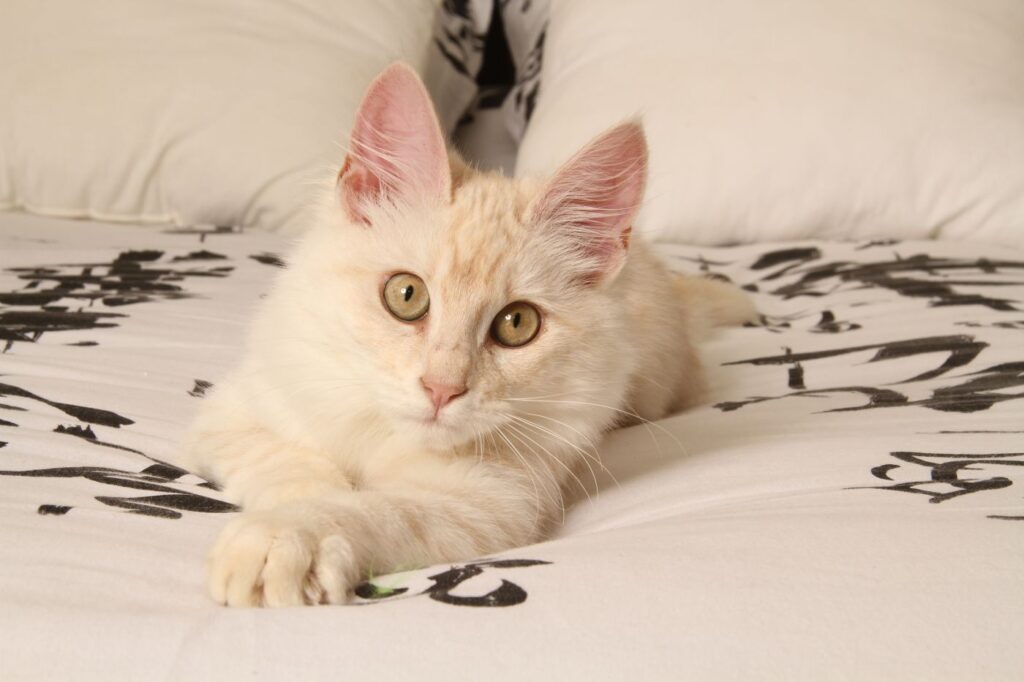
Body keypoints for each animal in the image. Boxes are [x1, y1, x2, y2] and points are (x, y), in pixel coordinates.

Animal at [178, 65, 753, 606]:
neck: (384, 434)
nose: (442, 390)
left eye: (517, 324)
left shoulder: (489, 500)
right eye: (406, 295)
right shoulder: (233, 411)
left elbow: (378, 509)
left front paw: (289, 535)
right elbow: (288, 462)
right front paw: (301, 507)